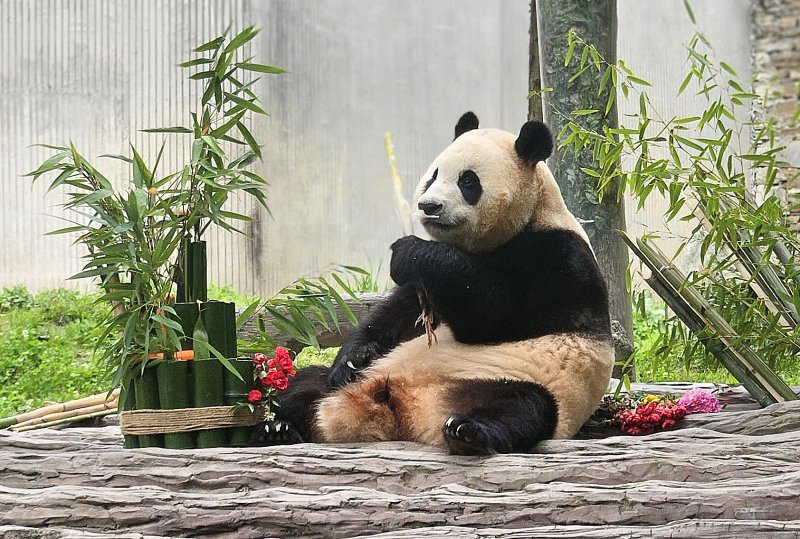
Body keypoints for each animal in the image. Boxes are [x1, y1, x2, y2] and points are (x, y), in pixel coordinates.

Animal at [253, 113, 616, 456]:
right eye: (434, 175)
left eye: (468, 181)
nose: (429, 205)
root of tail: (403, 411)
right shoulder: (425, 291)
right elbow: (396, 315)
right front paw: (353, 357)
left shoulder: (561, 260)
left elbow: (494, 316)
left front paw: (410, 251)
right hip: (350, 382)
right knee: (305, 383)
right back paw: (279, 428)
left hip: (527, 385)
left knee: (525, 406)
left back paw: (468, 432)